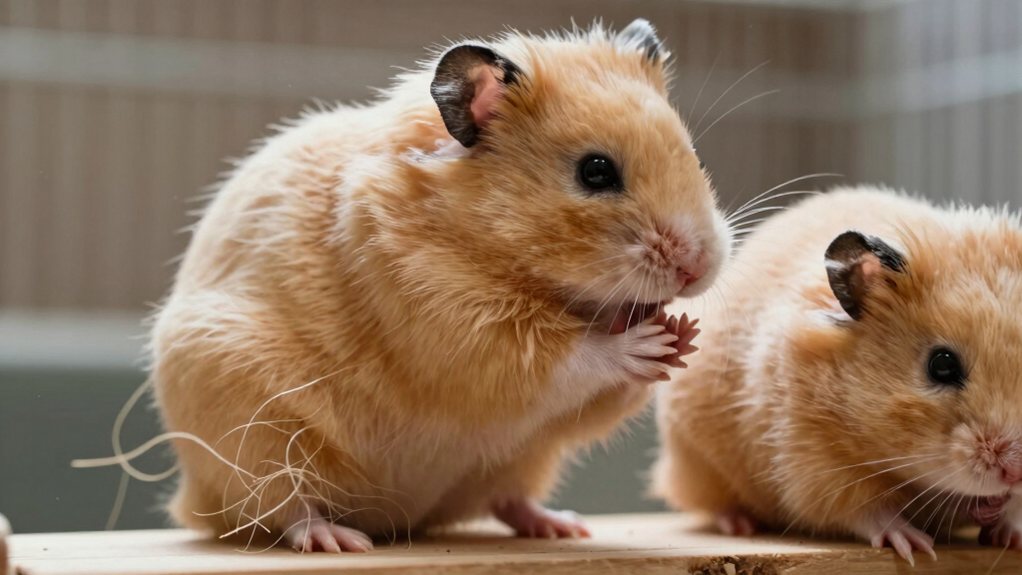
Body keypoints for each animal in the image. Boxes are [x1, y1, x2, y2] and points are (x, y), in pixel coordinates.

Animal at [152, 19, 730, 553]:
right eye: (595, 171)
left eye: (696, 157)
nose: (697, 267)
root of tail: (395, 518)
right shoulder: (454, 323)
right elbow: (569, 357)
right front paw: (646, 341)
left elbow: (605, 395)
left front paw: (682, 335)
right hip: (253, 431)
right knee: (283, 507)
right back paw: (337, 539)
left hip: (524, 460)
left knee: (508, 498)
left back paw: (561, 526)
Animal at [654, 186, 1022, 564]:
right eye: (942, 365)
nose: (1016, 472)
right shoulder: (809, 458)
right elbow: (864, 509)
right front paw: (913, 545)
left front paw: (1009, 533)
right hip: (695, 459)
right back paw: (740, 524)